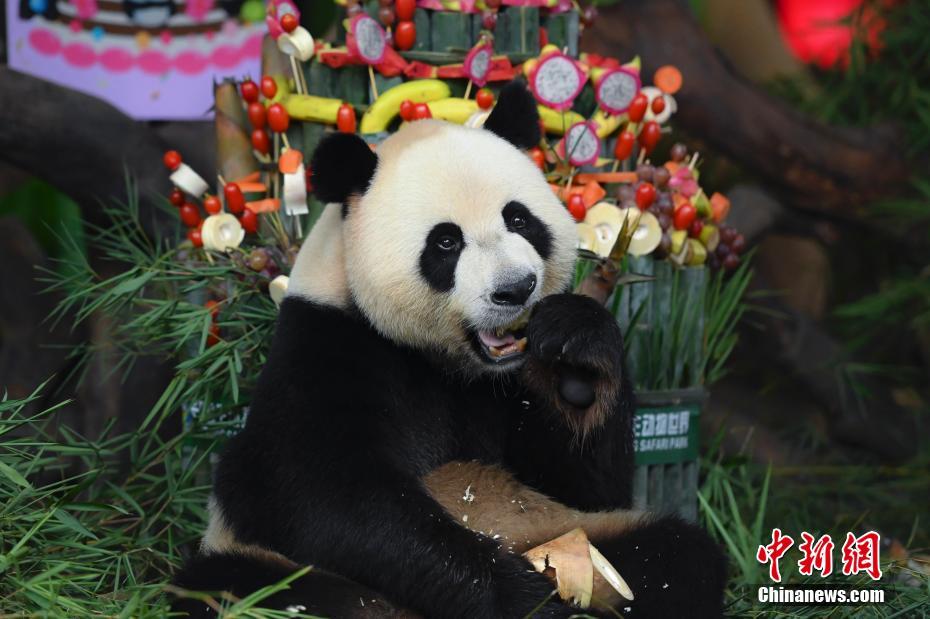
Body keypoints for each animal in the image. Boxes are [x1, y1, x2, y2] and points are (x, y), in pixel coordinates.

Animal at [172, 83, 724, 619]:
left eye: (519, 219)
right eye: (445, 242)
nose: (515, 289)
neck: (450, 365)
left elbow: (583, 485)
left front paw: (575, 360)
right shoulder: (325, 346)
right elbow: (319, 493)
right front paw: (520, 600)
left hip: (582, 538)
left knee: (677, 556)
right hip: (270, 567)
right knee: (238, 587)